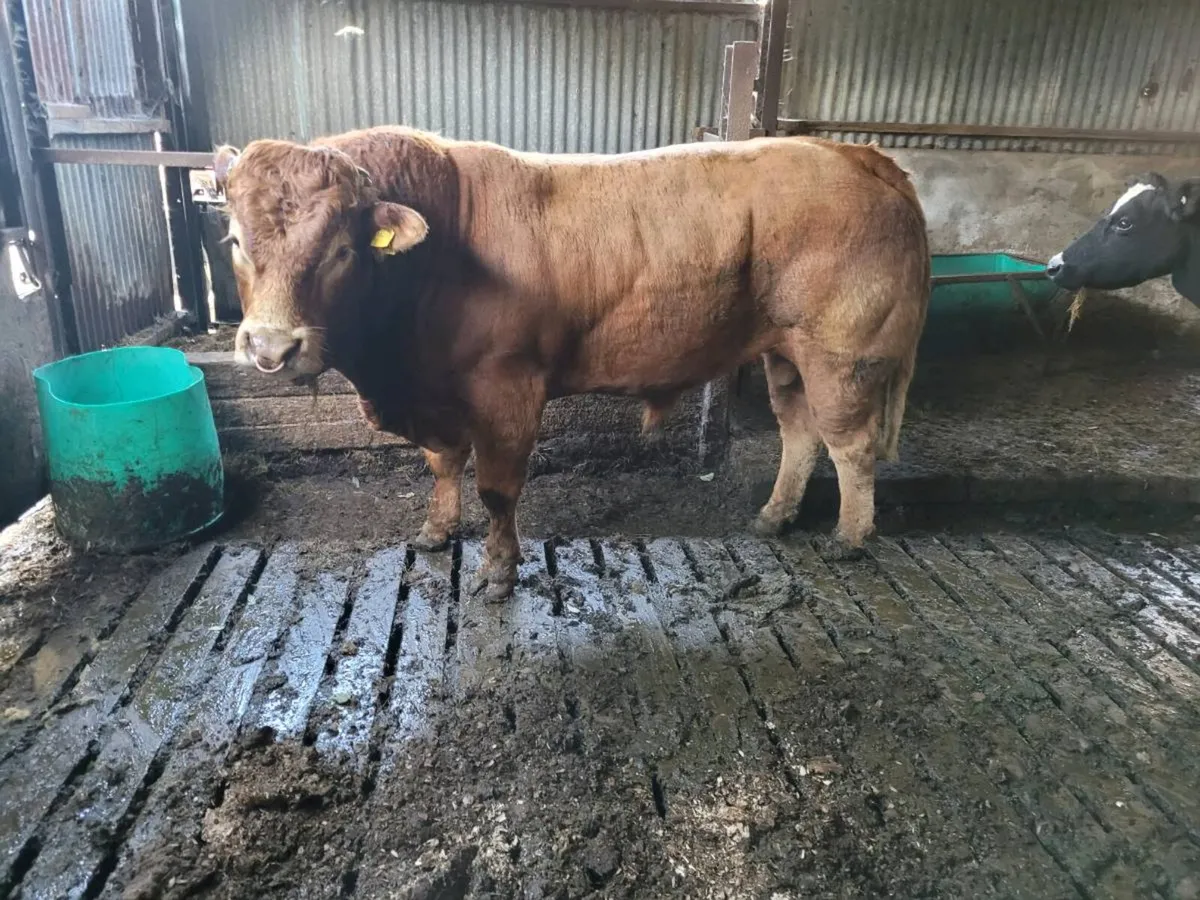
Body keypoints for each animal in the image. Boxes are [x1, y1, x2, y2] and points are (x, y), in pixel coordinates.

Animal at [214, 127, 930, 600]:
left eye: (341, 248)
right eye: (235, 241)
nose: (272, 347)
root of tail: (852, 153)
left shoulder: (507, 387)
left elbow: (497, 488)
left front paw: (498, 570)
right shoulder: (436, 399)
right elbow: (443, 465)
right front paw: (435, 532)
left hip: (842, 356)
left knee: (851, 444)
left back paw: (850, 537)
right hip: (785, 353)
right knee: (800, 431)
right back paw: (775, 515)